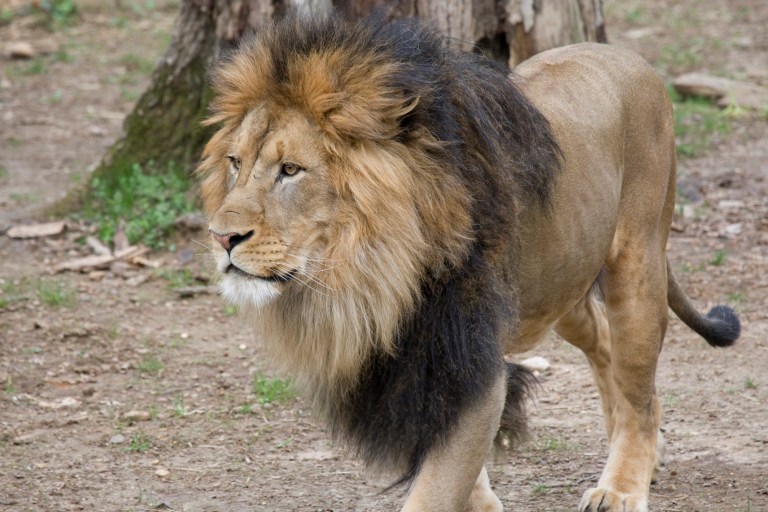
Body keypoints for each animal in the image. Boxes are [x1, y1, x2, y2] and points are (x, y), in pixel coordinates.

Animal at [197, 11, 741, 512]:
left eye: (291, 170)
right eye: (235, 164)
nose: (221, 237)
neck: (367, 276)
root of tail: (631, 58)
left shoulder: (468, 361)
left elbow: (435, 488)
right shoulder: (413, 372)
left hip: (637, 265)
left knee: (637, 391)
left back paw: (624, 485)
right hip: (559, 287)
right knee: (606, 347)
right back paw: (650, 454)